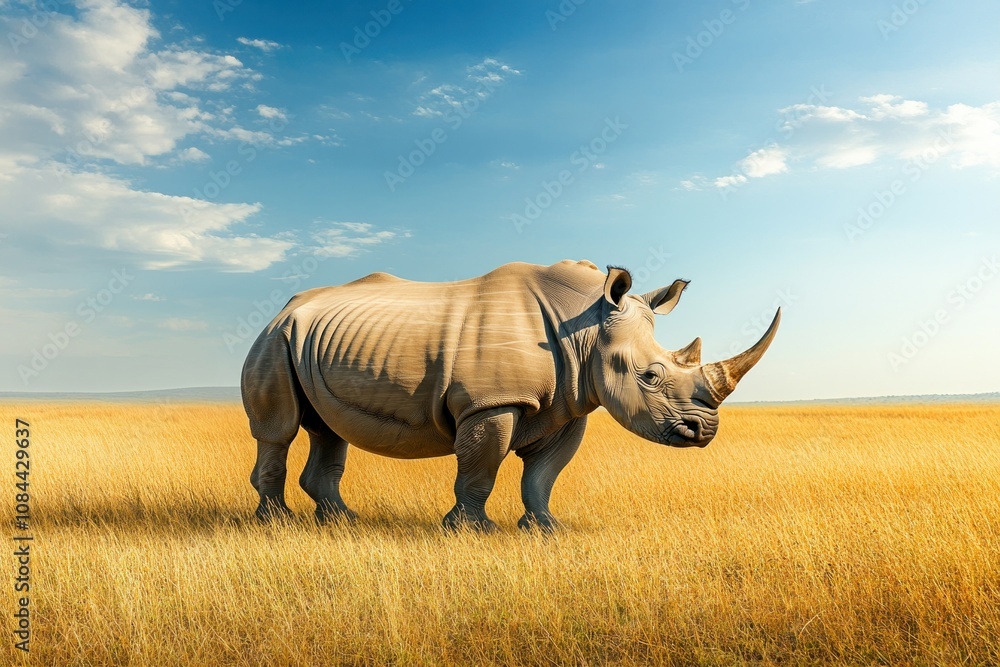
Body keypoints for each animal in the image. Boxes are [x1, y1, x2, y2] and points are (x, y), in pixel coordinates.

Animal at [242, 259, 779, 531]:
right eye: (649, 376)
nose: (703, 432)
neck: (586, 326)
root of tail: (283, 308)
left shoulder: (569, 403)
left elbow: (543, 475)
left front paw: (545, 528)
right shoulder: (493, 401)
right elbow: (481, 466)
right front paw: (471, 530)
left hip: (308, 340)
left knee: (328, 430)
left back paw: (341, 522)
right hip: (275, 339)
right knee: (279, 430)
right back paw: (276, 524)